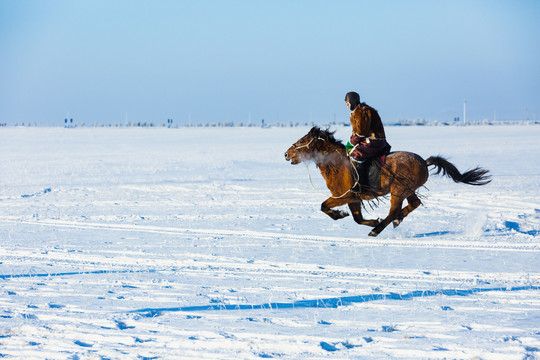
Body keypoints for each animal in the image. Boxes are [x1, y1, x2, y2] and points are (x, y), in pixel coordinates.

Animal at [284, 126, 492, 236]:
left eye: (302, 140)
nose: (286, 154)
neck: (337, 165)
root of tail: (424, 162)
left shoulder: (347, 195)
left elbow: (324, 206)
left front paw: (340, 214)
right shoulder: (354, 199)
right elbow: (357, 219)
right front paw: (368, 219)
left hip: (398, 191)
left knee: (393, 211)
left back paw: (378, 229)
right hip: (407, 190)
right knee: (414, 203)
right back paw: (395, 220)